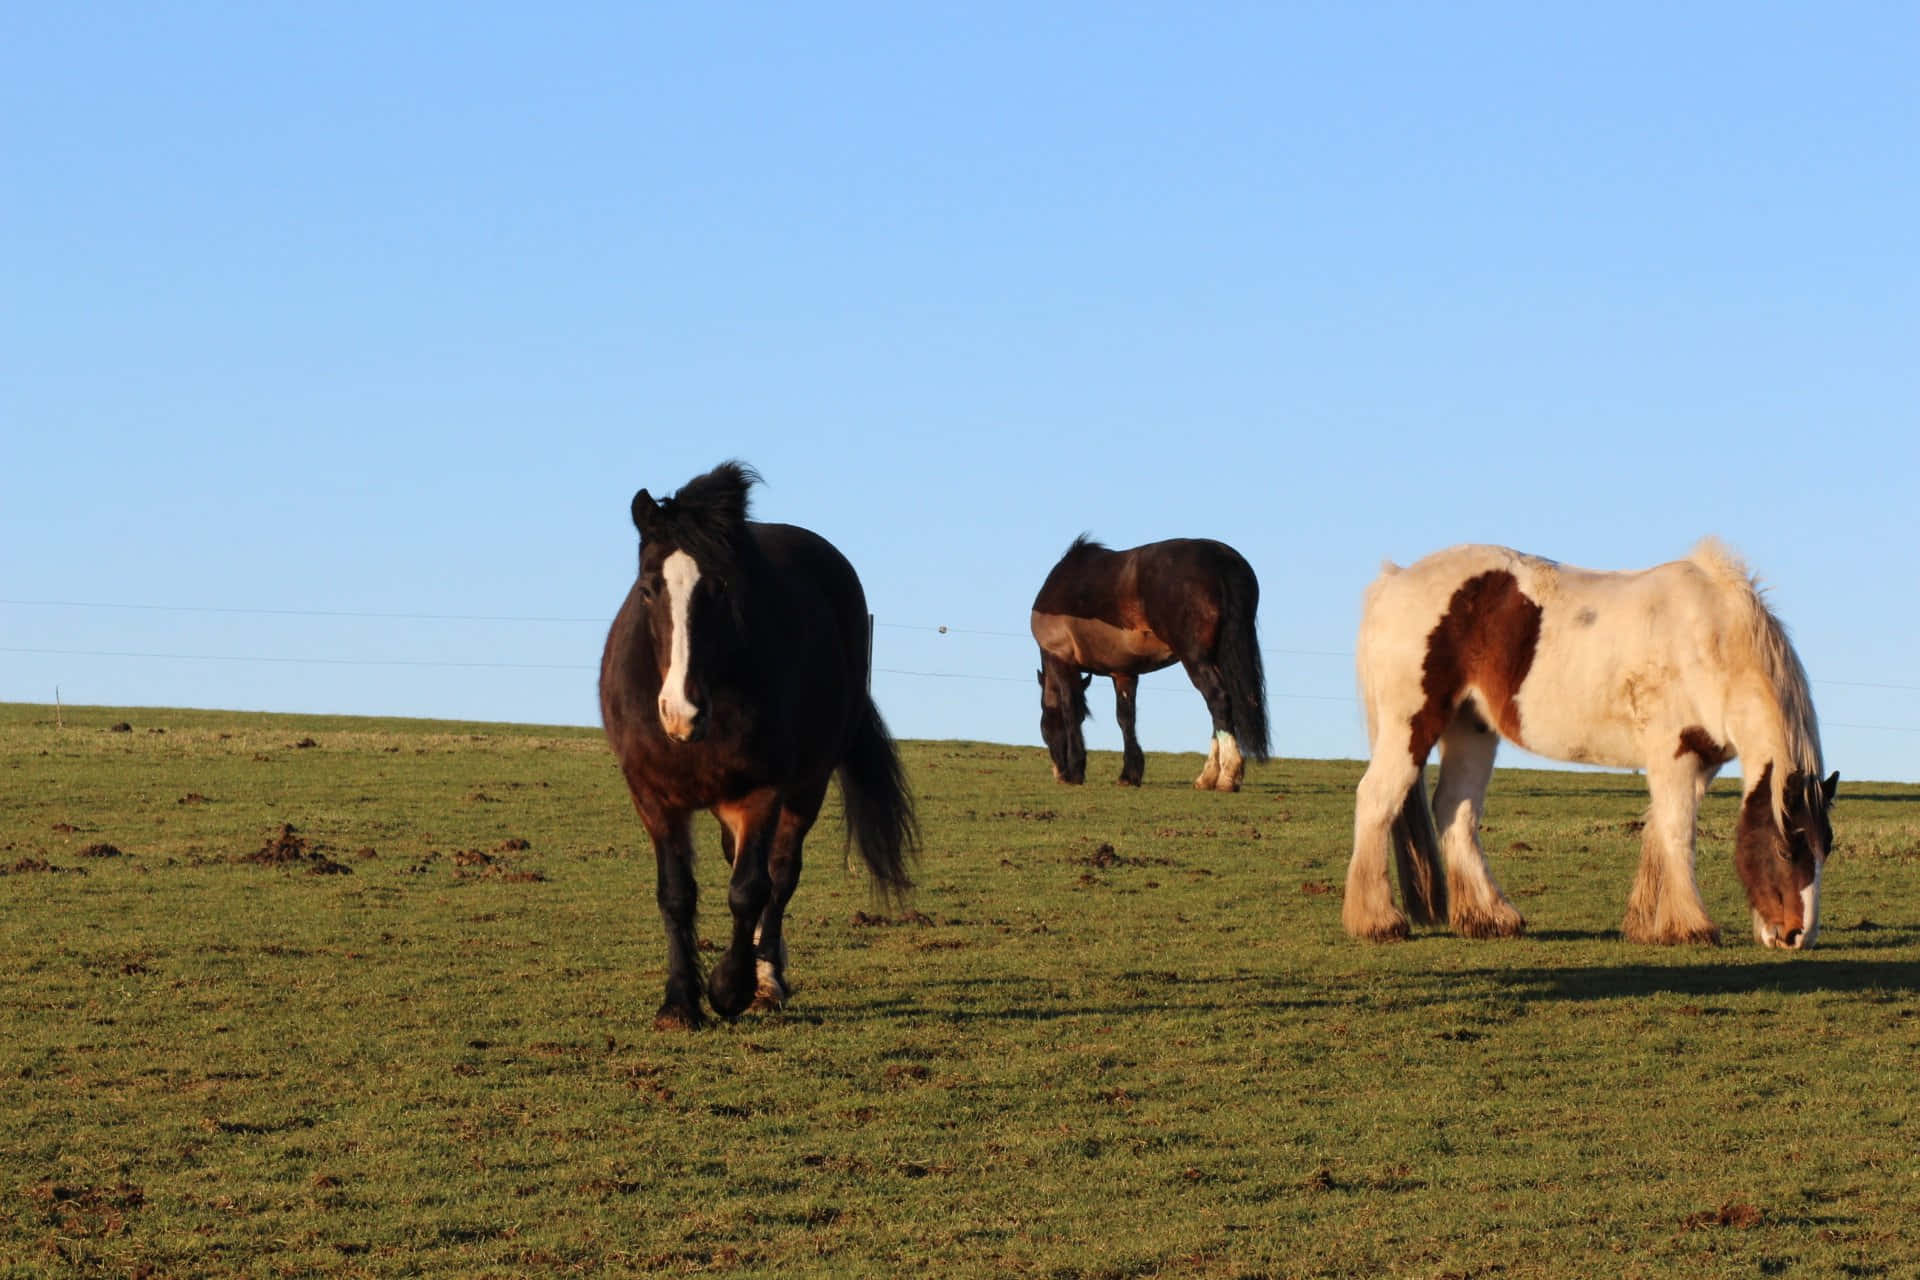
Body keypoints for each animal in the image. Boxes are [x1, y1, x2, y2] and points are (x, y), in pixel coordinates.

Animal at [599, 461, 917, 1028]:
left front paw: (731, 988)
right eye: (648, 589)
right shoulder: (652, 796)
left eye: (720, 588)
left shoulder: (762, 793)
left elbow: (750, 889)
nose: (680, 712)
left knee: (780, 875)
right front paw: (679, 1003)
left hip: (805, 788)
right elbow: (676, 894)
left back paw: (766, 978)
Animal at [1030, 536, 1270, 791]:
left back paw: (1226, 776)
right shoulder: (1124, 673)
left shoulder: (1061, 660)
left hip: (1196, 658)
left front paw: (1076, 771)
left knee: (1218, 699)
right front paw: (1129, 774)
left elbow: (1071, 710)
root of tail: (1220, 559)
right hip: (1218, 657)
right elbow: (1126, 718)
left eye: (1044, 727)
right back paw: (1208, 777)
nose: (1059, 774)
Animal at [1345, 539, 1837, 950]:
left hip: (1471, 729)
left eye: (1825, 847)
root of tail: (1394, 580)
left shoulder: (1700, 762)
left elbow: (1658, 830)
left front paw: (1648, 925)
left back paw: (1490, 918)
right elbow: (1678, 832)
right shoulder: (1674, 754)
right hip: (1411, 725)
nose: (1797, 936)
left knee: (1455, 810)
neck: (1711, 640)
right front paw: (1691, 926)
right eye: (1785, 848)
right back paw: (1377, 921)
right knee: (1377, 799)